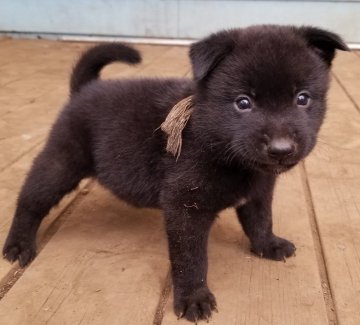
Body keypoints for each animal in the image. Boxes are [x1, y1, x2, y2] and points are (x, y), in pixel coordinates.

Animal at [2, 25, 348, 322]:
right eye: (243, 102)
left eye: (302, 98)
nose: (281, 148)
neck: (223, 149)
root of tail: (85, 89)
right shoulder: (185, 207)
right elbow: (190, 259)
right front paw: (194, 298)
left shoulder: (259, 193)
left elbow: (260, 221)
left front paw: (269, 244)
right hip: (62, 162)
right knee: (31, 198)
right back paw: (18, 245)